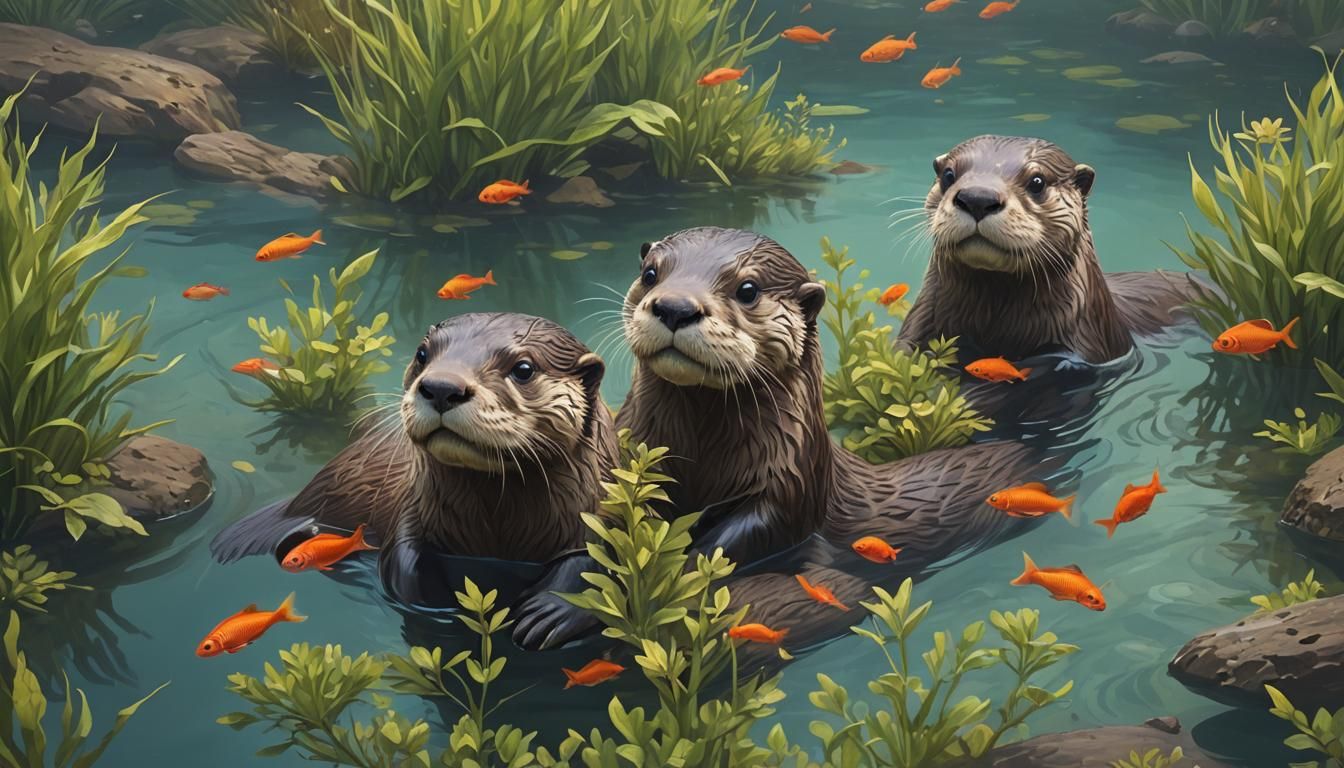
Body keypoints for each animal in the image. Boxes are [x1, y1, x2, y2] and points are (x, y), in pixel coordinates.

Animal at [211, 313, 615, 638]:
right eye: (422, 354)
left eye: (524, 369)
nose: (442, 387)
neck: (498, 533)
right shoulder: (413, 507)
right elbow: (401, 558)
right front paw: (441, 604)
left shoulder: (602, 504)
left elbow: (600, 560)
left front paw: (550, 612)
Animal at [615, 227, 1042, 570]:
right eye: (650, 273)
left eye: (747, 290)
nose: (675, 307)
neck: (700, 460)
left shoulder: (791, 483)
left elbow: (754, 532)